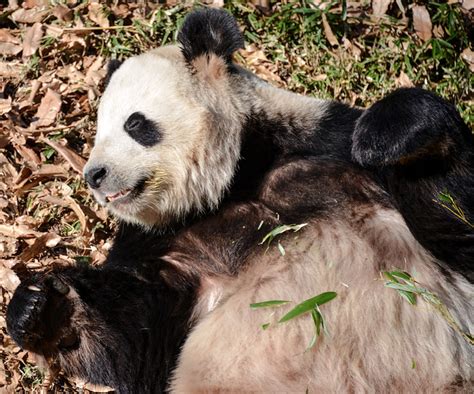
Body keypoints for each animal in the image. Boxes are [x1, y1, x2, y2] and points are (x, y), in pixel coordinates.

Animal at [5, 7, 472, 392]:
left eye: (134, 124)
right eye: (99, 130)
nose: (95, 175)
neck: (235, 184)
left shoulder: (325, 146)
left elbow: (454, 224)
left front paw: (390, 134)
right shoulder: (162, 246)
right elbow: (136, 343)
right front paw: (40, 308)